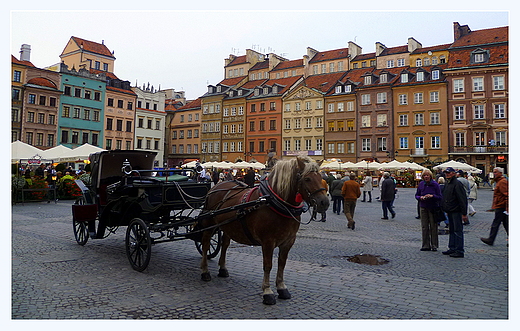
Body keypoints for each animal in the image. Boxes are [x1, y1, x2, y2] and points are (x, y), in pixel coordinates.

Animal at [199, 156, 330, 306]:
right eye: (307, 179)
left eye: (321, 177)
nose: (324, 202)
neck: (273, 202)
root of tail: (215, 186)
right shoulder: (268, 242)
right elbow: (268, 265)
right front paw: (268, 292)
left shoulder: (289, 241)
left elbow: (282, 264)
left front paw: (282, 288)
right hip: (209, 224)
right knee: (205, 244)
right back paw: (205, 271)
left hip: (227, 226)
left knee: (225, 245)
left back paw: (222, 269)